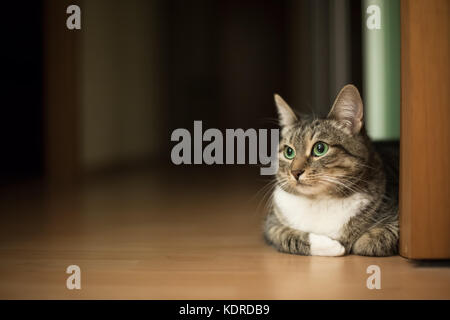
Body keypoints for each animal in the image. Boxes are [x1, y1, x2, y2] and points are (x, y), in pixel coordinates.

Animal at [262, 84, 400, 256]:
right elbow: (284, 234)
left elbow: (370, 241)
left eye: (320, 148)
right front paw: (331, 246)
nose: (295, 172)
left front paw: (356, 242)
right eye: (289, 152)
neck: (319, 200)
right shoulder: (271, 223)